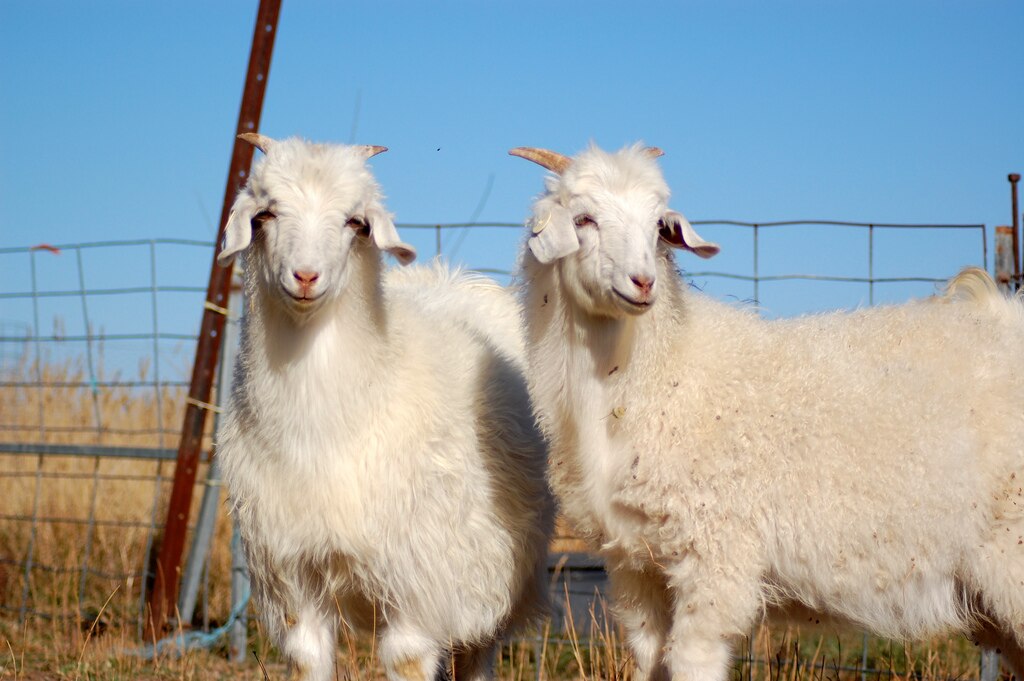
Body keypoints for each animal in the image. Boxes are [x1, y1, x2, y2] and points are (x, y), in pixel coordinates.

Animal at [216, 134, 552, 679]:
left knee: (477, 649)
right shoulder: (295, 578)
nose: (305, 276)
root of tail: (452, 276)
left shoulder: (418, 584)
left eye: (356, 222)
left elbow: (408, 657)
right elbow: (308, 659)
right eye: (265, 214)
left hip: (488, 570)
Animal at [516, 142, 1024, 679]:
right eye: (584, 219)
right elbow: (650, 655)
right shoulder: (635, 564)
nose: (643, 282)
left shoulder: (715, 555)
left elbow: (693, 656)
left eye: (658, 225)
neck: (659, 372)